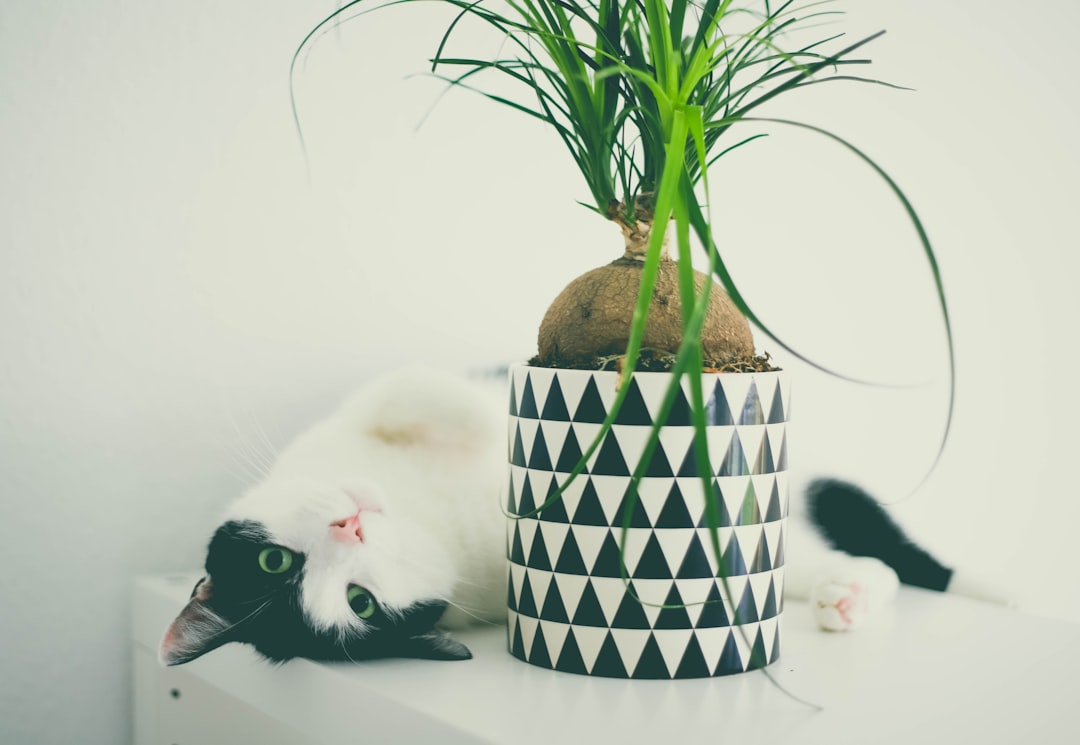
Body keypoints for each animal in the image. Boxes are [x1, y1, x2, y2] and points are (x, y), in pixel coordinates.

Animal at [159, 364, 1002, 660]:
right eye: (357, 603)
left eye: (274, 559)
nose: (351, 526)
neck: (428, 520)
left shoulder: (363, 415)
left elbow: (427, 392)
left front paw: (487, 412)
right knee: (844, 563)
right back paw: (849, 595)